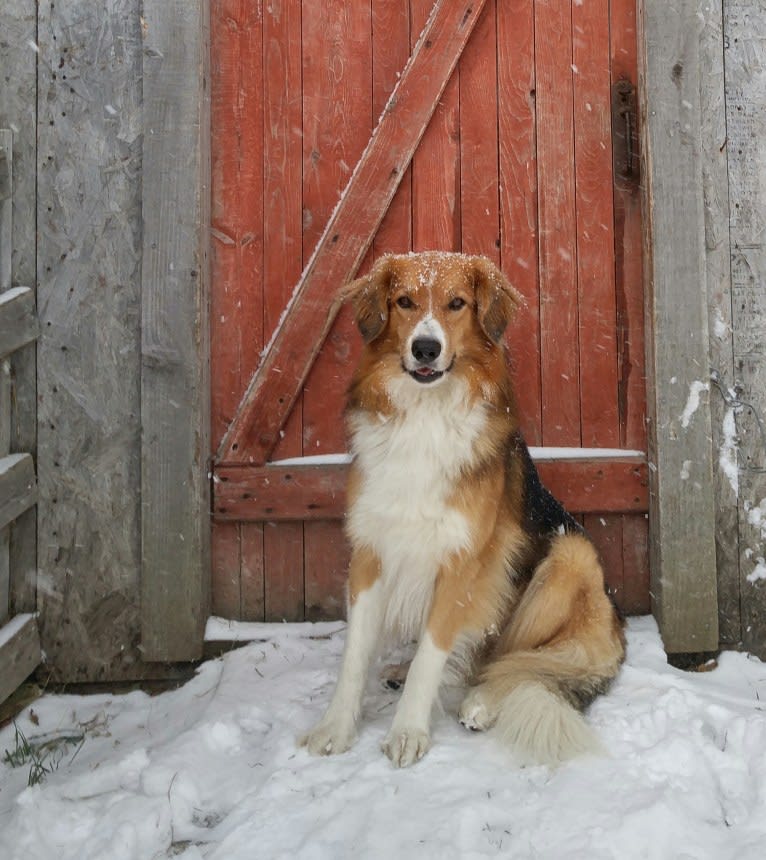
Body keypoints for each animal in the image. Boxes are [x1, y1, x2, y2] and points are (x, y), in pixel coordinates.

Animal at [296, 252, 628, 768]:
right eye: (404, 301)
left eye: (457, 304)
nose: (426, 349)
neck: (425, 414)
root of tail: (616, 631)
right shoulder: (372, 549)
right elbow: (355, 652)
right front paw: (335, 726)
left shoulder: (464, 562)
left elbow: (434, 652)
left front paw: (408, 730)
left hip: (568, 558)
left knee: (520, 661)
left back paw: (483, 702)